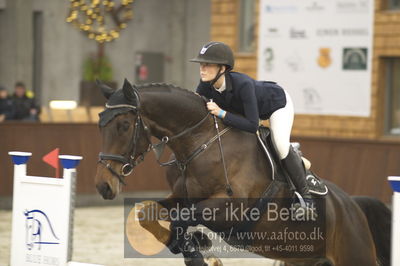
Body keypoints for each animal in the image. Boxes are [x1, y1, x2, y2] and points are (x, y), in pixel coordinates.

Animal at [94, 79, 390, 266]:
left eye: (123, 125)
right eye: (100, 124)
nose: (102, 186)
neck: (202, 142)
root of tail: (353, 207)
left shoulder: (229, 208)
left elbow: (182, 219)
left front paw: (197, 251)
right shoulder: (183, 198)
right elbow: (146, 213)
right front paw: (190, 245)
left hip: (354, 254)